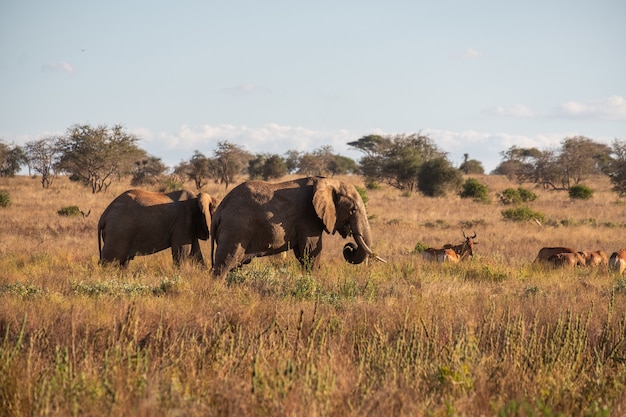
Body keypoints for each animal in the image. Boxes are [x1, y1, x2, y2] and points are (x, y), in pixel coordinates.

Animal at [208, 176, 380, 280]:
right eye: (353, 210)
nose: (349, 247)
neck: (328, 181)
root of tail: (219, 212)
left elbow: (302, 253)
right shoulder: (309, 217)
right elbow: (310, 251)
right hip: (235, 230)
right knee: (224, 264)